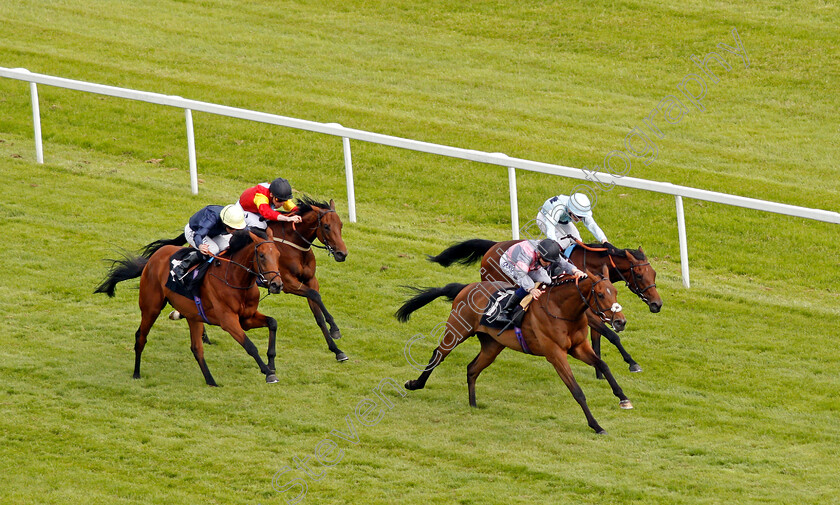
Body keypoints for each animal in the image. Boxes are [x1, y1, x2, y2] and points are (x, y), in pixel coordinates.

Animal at [95, 226, 286, 384]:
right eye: (262, 256)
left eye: (278, 255)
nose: (277, 285)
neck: (235, 278)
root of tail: (156, 255)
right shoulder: (228, 321)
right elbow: (250, 345)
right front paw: (268, 373)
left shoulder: (246, 318)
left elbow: (273, 323)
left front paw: (271, 363)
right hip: (151, 307)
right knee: (141, 336)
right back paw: (136, 373)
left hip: (193, 316)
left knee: (196, 348)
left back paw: (211, 381)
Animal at [398, 268, 632, 434]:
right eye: (600, 294)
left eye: (615, 292)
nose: (620, 322)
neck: (561, 309)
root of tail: (467, 287)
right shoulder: (555, 354)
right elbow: (577, 391)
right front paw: (596, 425)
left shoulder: (578, 347)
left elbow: (603, 365)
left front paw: (623, 398)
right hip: (457, 329)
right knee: (438, 355)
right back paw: (415, 384)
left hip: (492, 345)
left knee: (472, 368)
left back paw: (473, 404)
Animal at [426, 237, 664, 374]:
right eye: (639, 274)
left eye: (654, 273)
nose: (657, 304)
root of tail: (493, 247)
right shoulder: (588, 311)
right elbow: (612, 335)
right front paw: (632, 363)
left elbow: (600, 337)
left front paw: (600, 368)